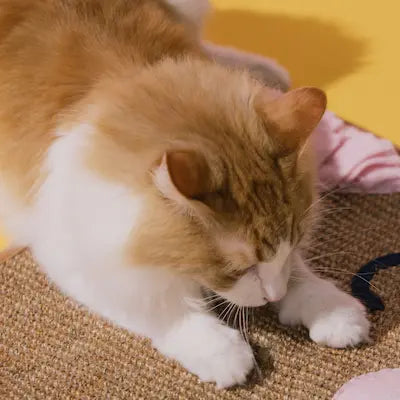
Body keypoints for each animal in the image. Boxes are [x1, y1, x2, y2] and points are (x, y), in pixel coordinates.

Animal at [0, 0, 368, 388]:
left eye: (297, 240)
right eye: (240, 269)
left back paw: (262, 71)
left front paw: (329, 308)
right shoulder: (73, 247)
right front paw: (220, 351)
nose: (274, 296)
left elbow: (296, 271)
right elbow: (162, 305)